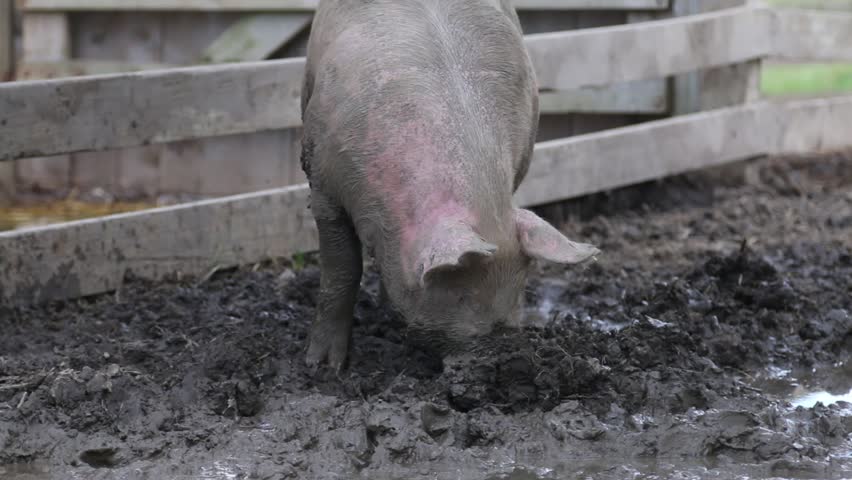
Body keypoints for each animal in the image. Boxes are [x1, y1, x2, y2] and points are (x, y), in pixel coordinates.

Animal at [300, 0, 600, 372]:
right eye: (459, 294)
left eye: (518, 289)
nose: (494, 357)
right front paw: (323, 366)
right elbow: (341, 269)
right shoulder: (324, 182)